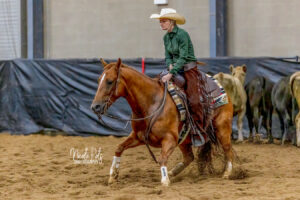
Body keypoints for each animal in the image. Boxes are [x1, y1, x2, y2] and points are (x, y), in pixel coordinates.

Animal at [91, 57, 234, 186]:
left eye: (109, 81)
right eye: (98, 80)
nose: (95, 107)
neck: (151, 103)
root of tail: (221, 87)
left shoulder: (170, 139)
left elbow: (162, 159)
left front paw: (165, 180)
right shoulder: (138, 137)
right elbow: (119, 148)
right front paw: (113, 176)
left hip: (222, 128)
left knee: (228, 149)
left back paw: (227, 173)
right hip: (184, 139)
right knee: (189, 157)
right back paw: (172, 172)